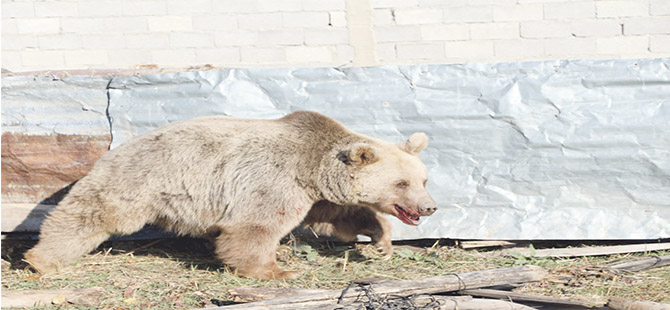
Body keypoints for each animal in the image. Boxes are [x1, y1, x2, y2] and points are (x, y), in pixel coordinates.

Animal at [23, 110, 438, 280]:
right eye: (402, 183)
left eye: (423, 179)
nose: (429, 207)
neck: (313, 166)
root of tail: (116, 146)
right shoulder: (274, 177)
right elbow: (255, 226)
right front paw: (275, 269)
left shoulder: (318, 194)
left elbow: (340, 216)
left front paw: (381, 240)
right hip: (142, 178)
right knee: (92, 212)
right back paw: (41, 259)